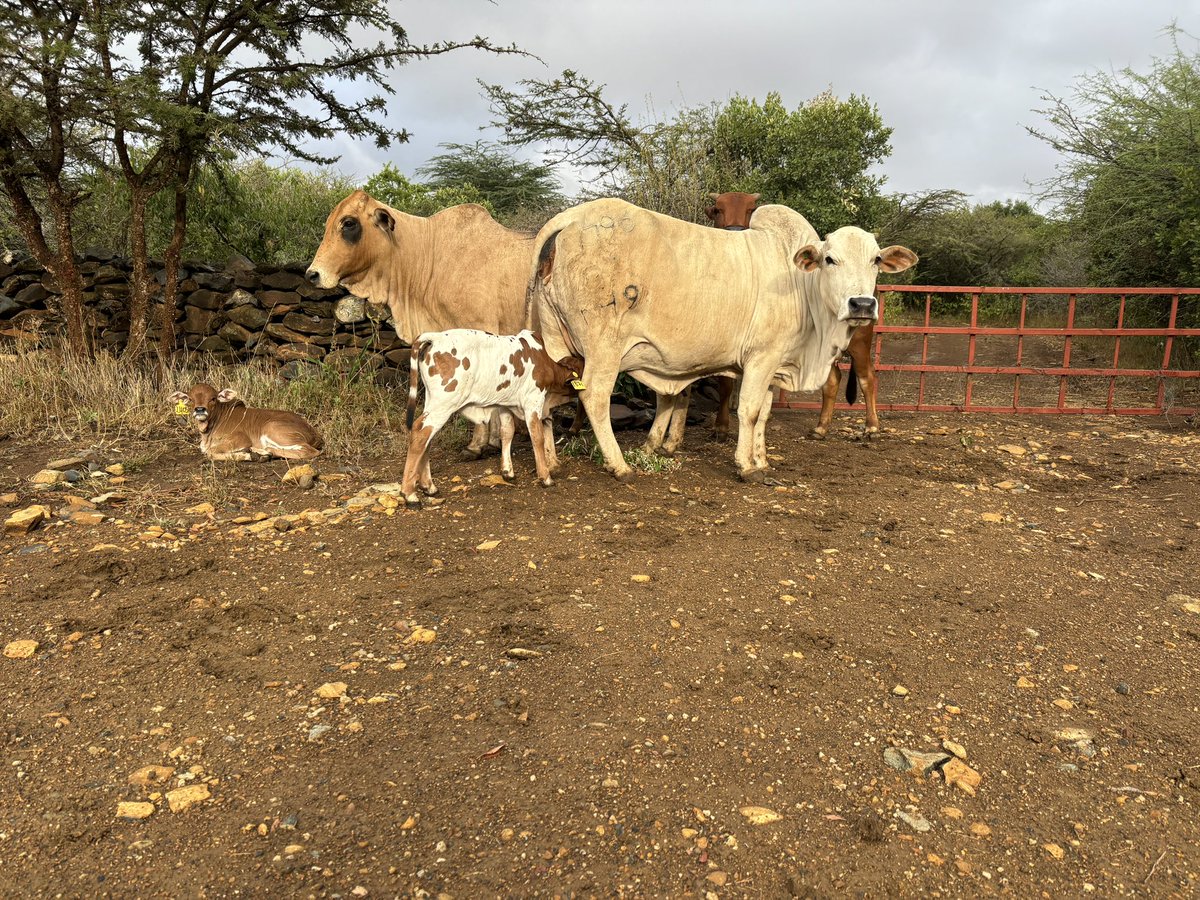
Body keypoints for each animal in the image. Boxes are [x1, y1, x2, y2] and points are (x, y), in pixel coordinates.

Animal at [169, 381, 326, 460]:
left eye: (213, 398)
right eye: (190, 399)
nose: (200, 409)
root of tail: (315, 434)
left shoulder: (241, 438)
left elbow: (210, 453)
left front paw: (245, 454)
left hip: (273, 429)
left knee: (310, 451)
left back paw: (262, 452)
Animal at [403, 331, 585, 508]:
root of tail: (435, 337)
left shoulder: (506, 405)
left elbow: (507, 433)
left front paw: (507, 471)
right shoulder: (532, 402)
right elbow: (537, 438)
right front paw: (545, 477)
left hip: (432, 401)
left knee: (426, 440)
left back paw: (428, 487)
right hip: (444, 403)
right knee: (420, 432)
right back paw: (410, 495)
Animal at [530, 196, 912, 480]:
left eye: (876, 259)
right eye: (830, 259)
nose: (862, 304)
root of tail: (572, 217)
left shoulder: (772, 364)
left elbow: (764, 414)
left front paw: (761, 460)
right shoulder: (761, 358)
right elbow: (750, 411)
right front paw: (746, 466)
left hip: (553, 342)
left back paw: (552, 462)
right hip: (604, 347)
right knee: (594, 397)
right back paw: (619, 465)